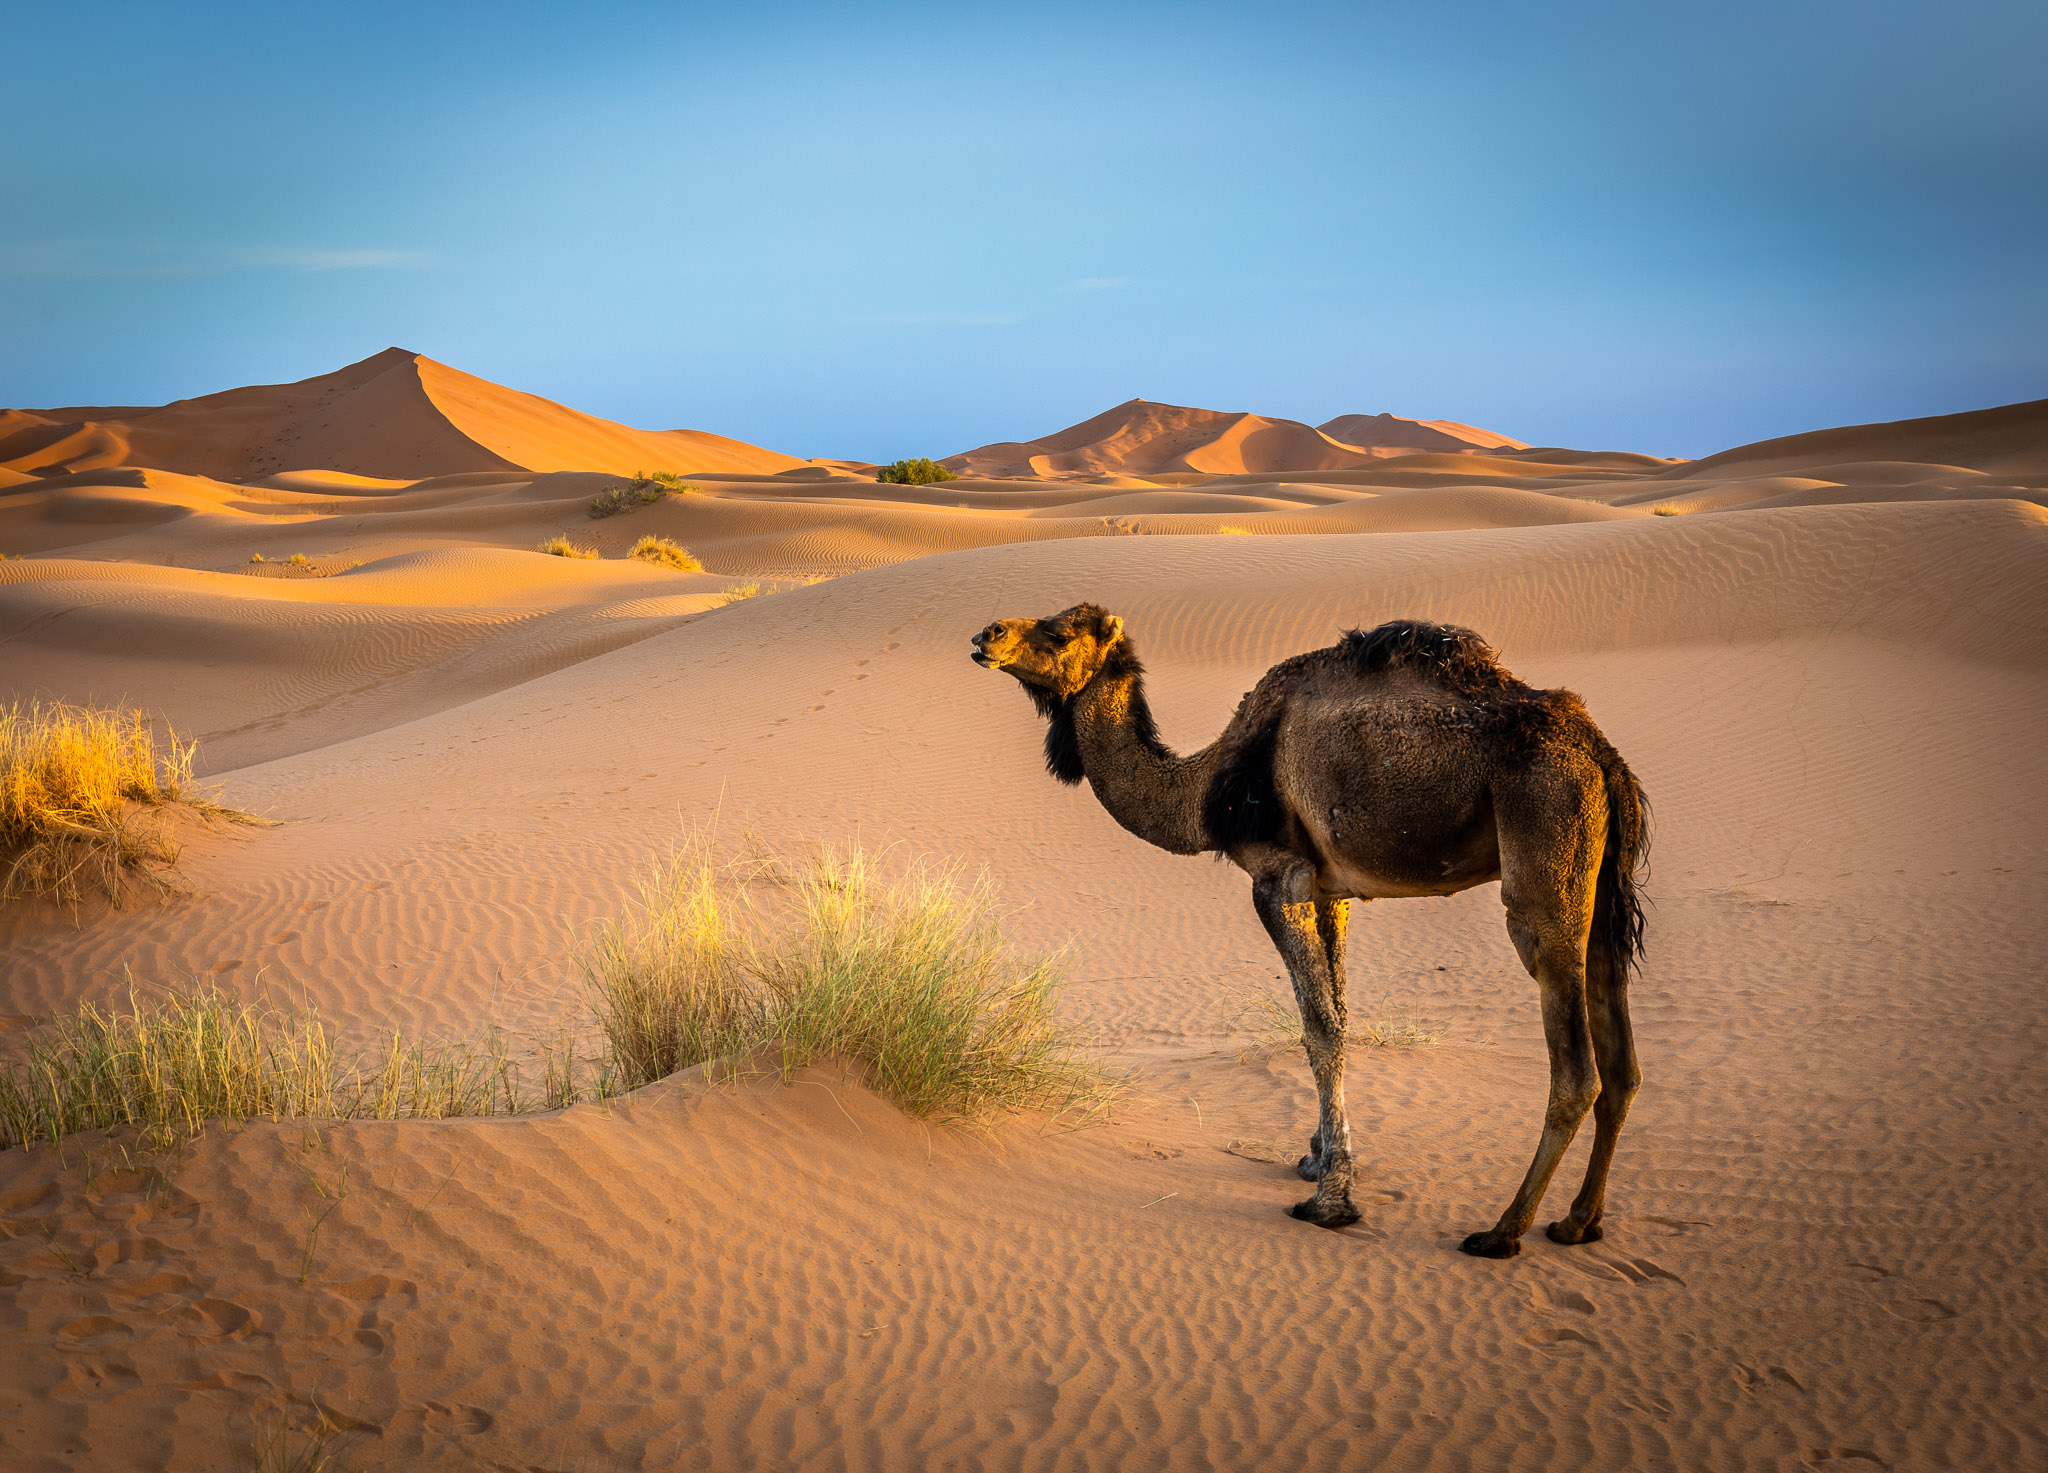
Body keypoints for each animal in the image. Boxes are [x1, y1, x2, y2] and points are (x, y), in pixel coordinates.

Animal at [966, 606, 1654, 1261]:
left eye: (1058, 633)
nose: (986, 634)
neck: (1210, 786)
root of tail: (1602, 757)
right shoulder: (1331, 893)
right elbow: (1341, 1016)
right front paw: (1317, 1158)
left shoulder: (1279, 879)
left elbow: (1318, 1028)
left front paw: (1331, 1200)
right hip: (1598, 884)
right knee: (1621, 1062)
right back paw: (1578, 1222)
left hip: (1544, 850)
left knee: (1576, 1069)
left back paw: (1502, 1231)